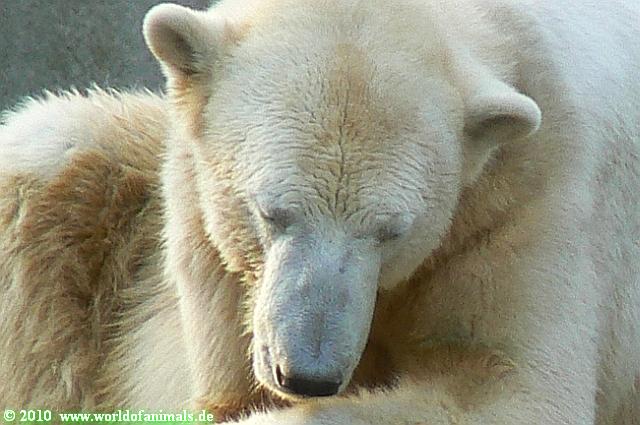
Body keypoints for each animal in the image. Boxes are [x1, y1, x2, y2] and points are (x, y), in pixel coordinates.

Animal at [1, 0, 639, 423]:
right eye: (272, 211)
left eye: (390, 231)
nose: (307, 373)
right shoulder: (206, 248)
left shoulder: (526, 199)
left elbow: (506, 383)